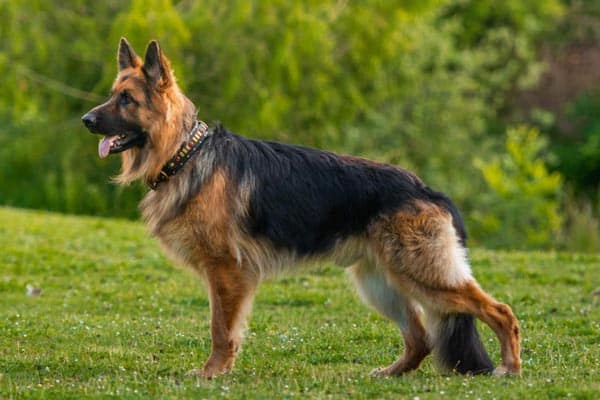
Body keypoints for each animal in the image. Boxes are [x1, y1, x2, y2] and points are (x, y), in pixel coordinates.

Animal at [81, 37, 520, 378]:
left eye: (126, 99)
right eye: (112, 95)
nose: (85, 119)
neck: (184, 154)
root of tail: (428, 189)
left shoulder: (227, 272)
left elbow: (220, 329)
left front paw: (213, 372)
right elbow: (224, 328)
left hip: (422, 275)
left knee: (500, 311)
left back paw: (511, 368)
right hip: (381, 283)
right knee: (421, 338)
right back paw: (393, 372)